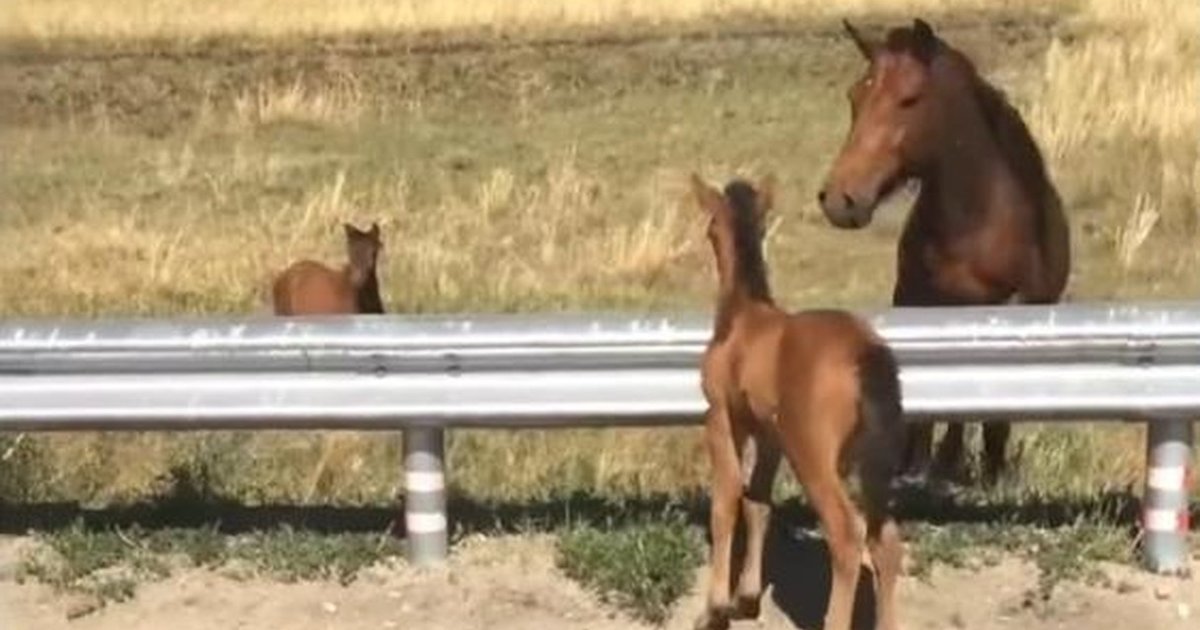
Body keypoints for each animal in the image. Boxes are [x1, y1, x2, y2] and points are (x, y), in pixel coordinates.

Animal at [690, 174, 904, 630]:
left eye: (711, 228)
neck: (743, 318)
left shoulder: (721, 418)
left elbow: (726, 500)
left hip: (812, 456)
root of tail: (866, 356)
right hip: (872, 463)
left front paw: (715, 609)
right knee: (887, 541)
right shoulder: (769, 435)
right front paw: (746, 598)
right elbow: (758, 503)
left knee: (847, 535)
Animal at [817, 18, 1070, 485]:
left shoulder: (1011, 309)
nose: (840, 199)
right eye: (854, 97)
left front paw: (987, 471)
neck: (976, 225)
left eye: (909, 99)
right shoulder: (917, 305)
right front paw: (916, 466)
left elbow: (987, 409)